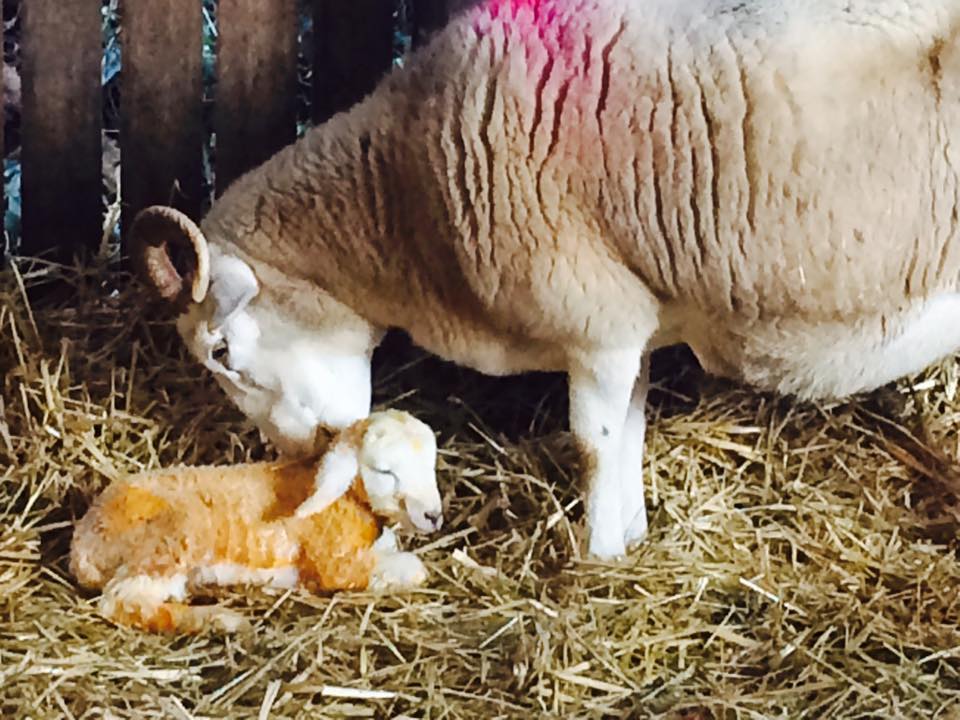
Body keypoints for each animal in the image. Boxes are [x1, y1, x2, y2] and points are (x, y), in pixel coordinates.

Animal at [69, 410, 442, 633]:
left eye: (431, 463)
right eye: (385, 471)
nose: (433, 516)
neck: (346, 497)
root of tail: (82, 546)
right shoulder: (337, 565)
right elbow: (412, 568)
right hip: (162, 547)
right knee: (122, 603)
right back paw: (221, 619)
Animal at [130, 0, 960, 560]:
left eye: (221, 352)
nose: (294, 453)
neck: (404, 200)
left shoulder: (593, 322)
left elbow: (592, 443)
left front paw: (596, 559)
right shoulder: (629, 322)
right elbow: (628, 432)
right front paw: (630, 537)